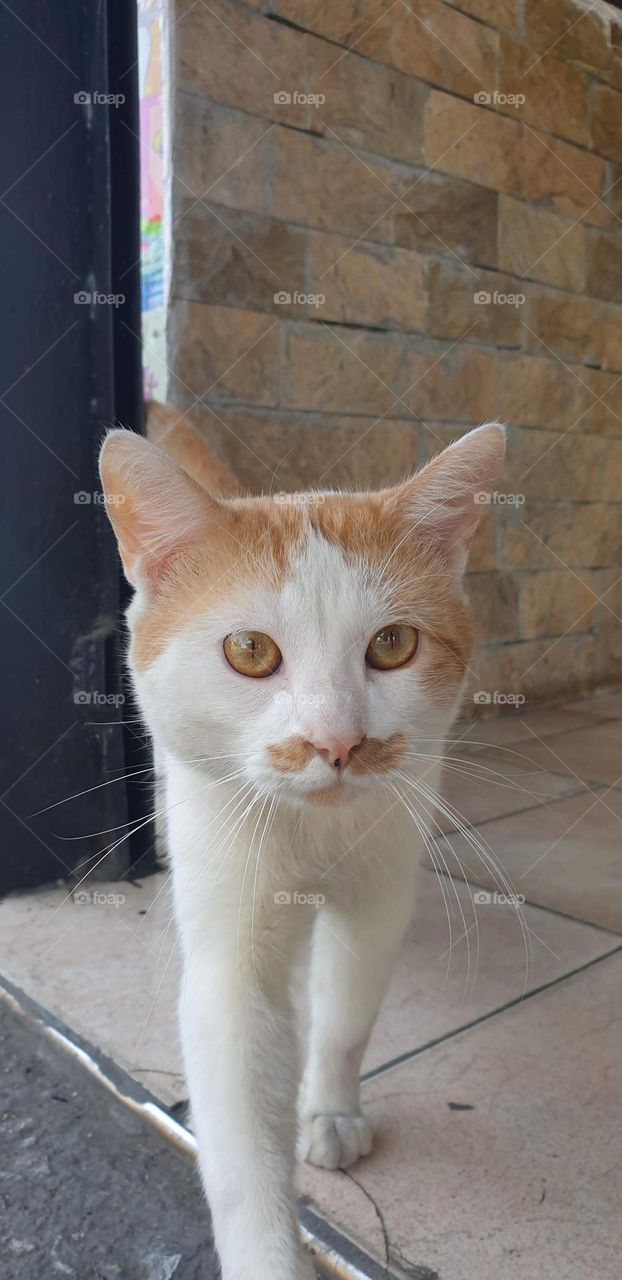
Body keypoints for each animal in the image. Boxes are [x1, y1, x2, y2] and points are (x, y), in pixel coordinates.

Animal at [98, 412, 504, 1280]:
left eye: (393, 644)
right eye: (250, 651)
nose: (338, 742)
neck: (314, 827)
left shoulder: (379, 892)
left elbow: (346, 1014)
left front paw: (330, 1112)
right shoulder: (229, 954)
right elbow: (241, 1141)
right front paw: (268, 1253)